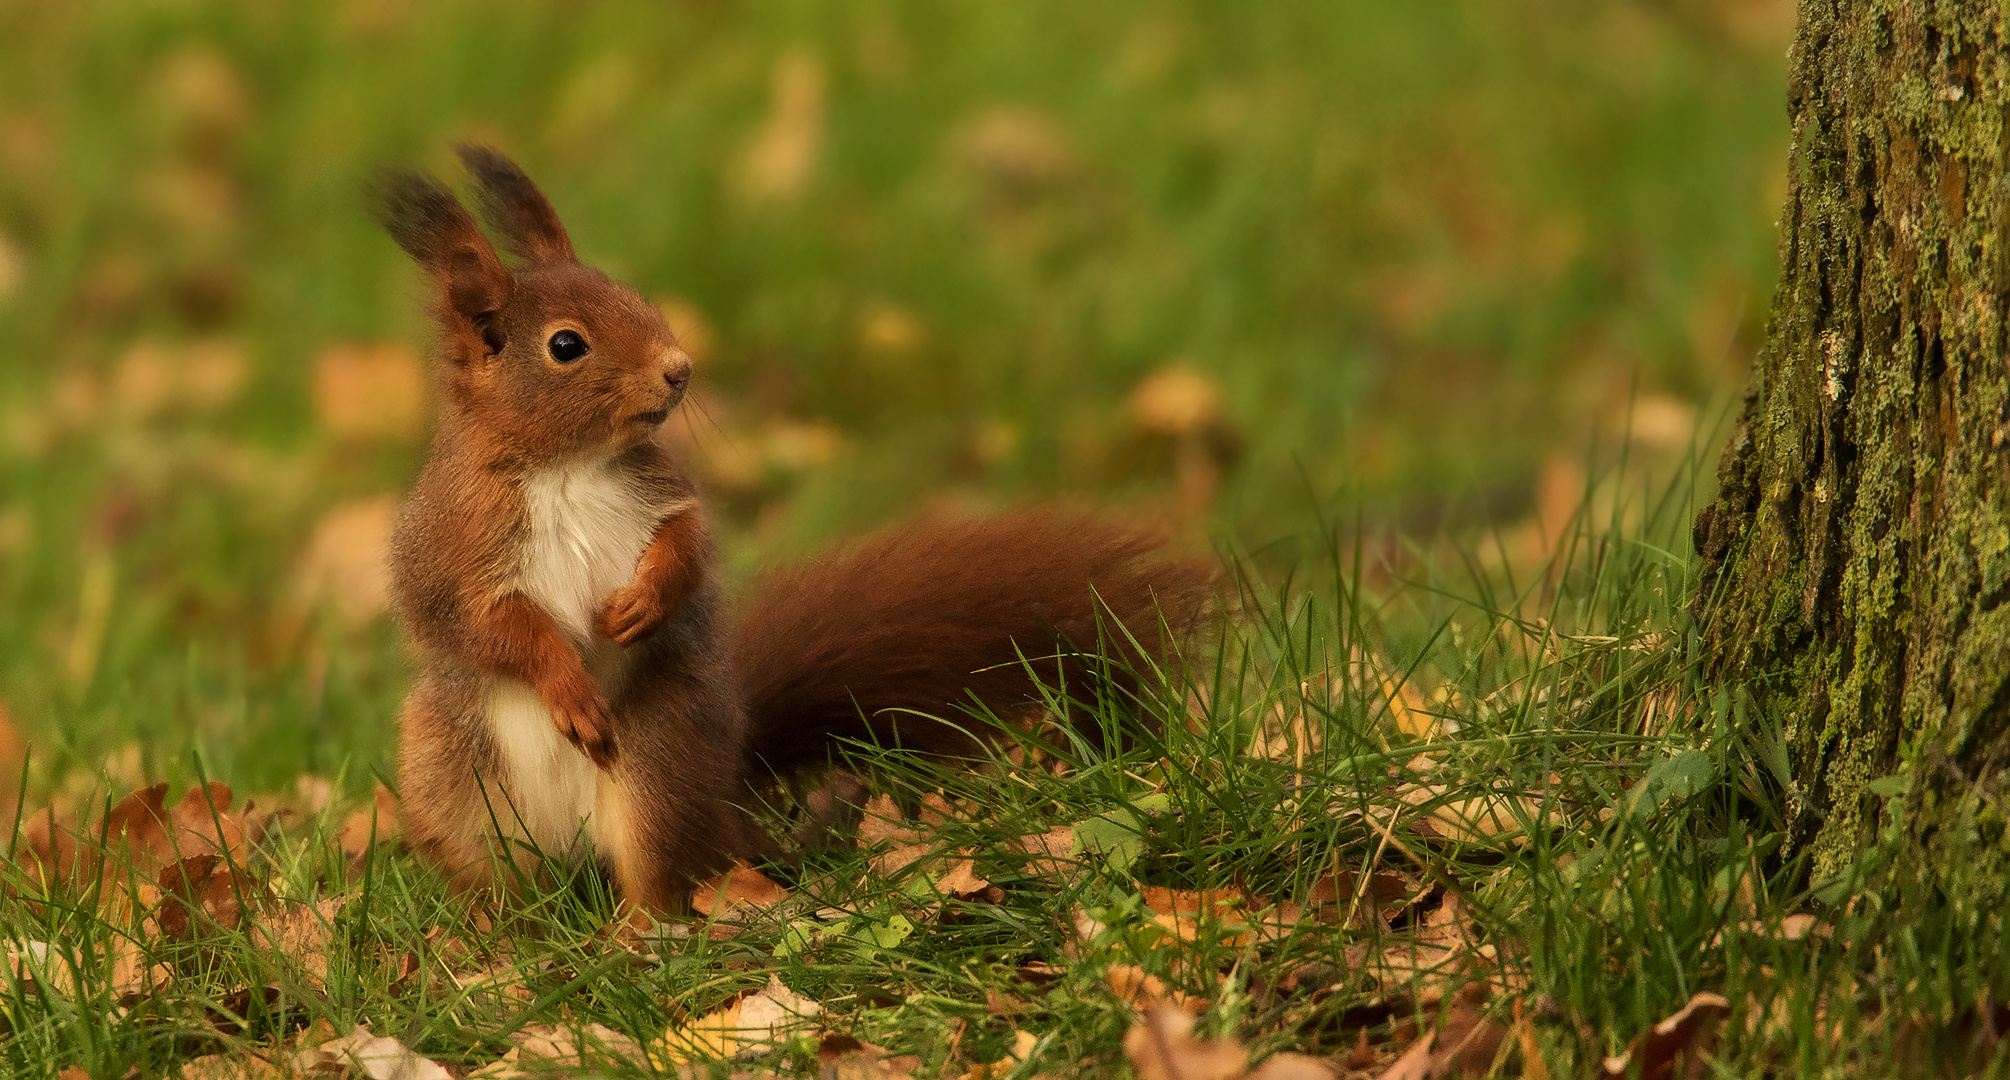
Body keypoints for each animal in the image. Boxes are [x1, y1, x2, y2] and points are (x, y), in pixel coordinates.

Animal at [377, 144, 1214, 917]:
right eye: (565, 345)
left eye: (629, 294)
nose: (679, 369)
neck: (569, 467)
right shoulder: (455, 553)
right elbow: (497, 629)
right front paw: (569, 689)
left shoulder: (663, 497)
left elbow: (687, 549)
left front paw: (642, 605)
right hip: (455, 786)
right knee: (500, 888)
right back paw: (494, 946)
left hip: (658, 764)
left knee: (661, 875)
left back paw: (638, 933)